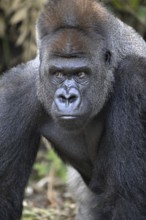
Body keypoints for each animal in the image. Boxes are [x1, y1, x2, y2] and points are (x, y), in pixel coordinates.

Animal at [0, 0, 146, 220]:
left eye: (81, 74)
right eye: (58, 74)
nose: (67, 98)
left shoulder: (135, 80)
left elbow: (128, 197)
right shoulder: (13, 92)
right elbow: (5, 192)